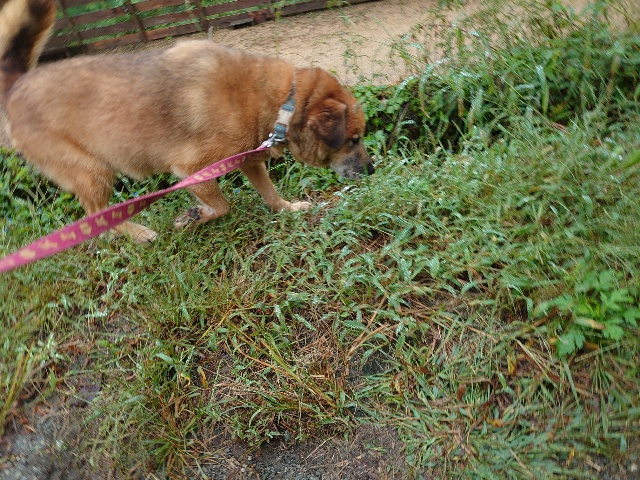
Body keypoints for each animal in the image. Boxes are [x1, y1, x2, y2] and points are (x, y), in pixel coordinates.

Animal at [0, 0, 374, 243]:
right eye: (354, 140)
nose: (372, 170)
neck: (283, 100)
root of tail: (17, 85)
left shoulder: (248, 160)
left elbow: (269, 194)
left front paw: (288, 208)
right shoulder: (193, 169)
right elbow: (222, 205)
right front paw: (196, 217)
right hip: (92, 172)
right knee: (96, 214)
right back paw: (138, 233)